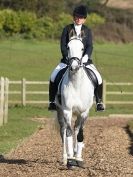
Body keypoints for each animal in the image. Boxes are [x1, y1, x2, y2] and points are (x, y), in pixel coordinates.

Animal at [55, 36, 93, 168]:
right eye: (68, 47)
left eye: (82, 48)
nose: (74, 66)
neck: (76, 83)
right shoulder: (67, 111)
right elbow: (69, 133)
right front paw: (71, 159)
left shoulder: (84, 112)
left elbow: (80, 133)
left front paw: (79, 158)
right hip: (60, 112)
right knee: (63, 130)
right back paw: (65, 157)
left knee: (76, 128)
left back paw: (77, 153)